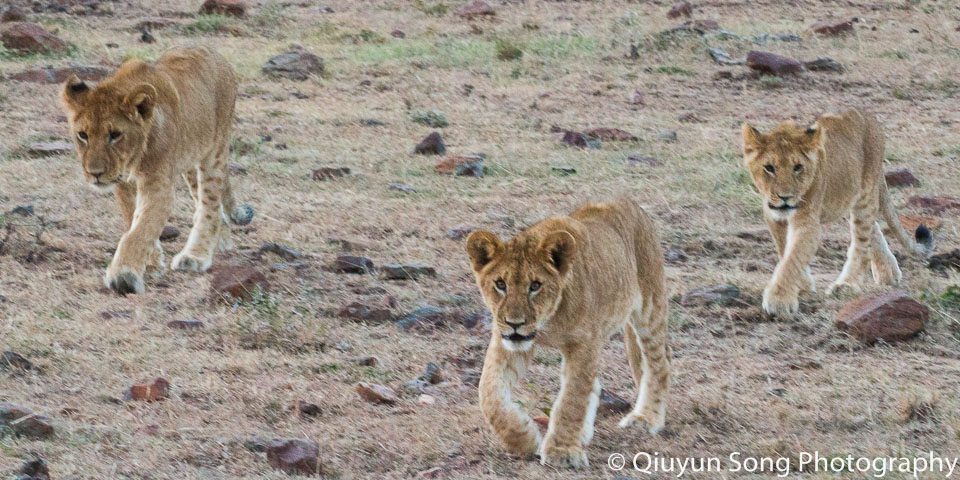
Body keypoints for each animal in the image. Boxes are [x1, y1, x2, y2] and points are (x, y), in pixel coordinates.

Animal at [61, 46, 253, 294]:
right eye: (83, 135)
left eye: (115, 135)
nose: (95, 173)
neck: (133, 159)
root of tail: (215, 53)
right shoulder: (123, 184)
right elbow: (134, 220)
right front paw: (152, 264)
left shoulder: (158, 186)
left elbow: (141, 229)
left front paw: (124, 276)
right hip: (189, 158)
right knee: (206, 201)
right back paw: (221, 240)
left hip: (214, 151)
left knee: (209, 204)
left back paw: (196, 256)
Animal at [465, 197, 670, 469]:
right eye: (500, 284)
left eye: (535, 286)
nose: (515, 323)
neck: (549, 321)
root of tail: (627, 201)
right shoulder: (507, 342)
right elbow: (489, 394)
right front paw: (524, 439)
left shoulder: (584, 344)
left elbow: (572, 398)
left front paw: (562, 451)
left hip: (650, 308)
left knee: (659, 364)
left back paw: (646, 418)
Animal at [742, 109, 933, 316]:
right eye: (769, 168)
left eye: (797, 167)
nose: (785, 197)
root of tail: (868, 116)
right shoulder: (773, 216)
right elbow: (785, 250)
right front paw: (803, 286)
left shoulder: (808, 222)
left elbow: (793, 259)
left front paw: (779, 300)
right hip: (848, 197)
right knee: (873, 228)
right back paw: (887, 272)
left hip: (864, 195)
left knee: (862, 244)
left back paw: (846, 285)